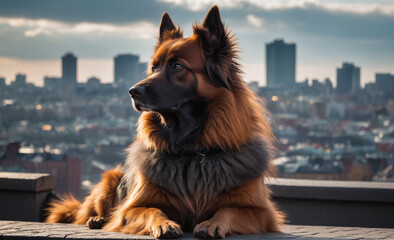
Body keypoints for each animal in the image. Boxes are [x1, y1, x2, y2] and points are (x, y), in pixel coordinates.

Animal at [46, 5, 284, 238]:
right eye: (153, 68)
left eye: (177, 66)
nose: (133, 91)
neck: (191, 149)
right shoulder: (132, 207)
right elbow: (151, 209)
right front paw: (164, 224)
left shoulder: (261, 212)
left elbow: (228, 210)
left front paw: (212, 224)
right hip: (110, 178)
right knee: (86, 211)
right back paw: (97, 219)